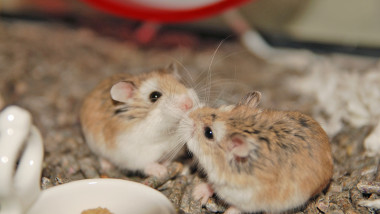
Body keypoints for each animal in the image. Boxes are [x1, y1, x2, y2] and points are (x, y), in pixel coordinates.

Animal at [178, 91, 332, 214]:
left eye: (208, 133)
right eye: (221, 108)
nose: (188, 115)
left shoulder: (247, 200)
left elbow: (234, 209)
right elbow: (210, 185)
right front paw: (196, 193)